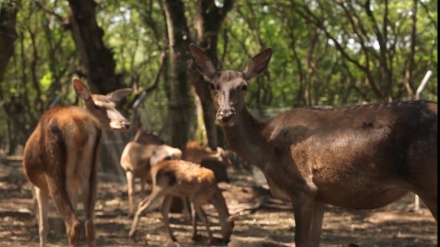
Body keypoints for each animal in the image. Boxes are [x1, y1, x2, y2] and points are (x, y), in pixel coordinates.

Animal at [22, 79, 132, 247]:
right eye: (97, 106)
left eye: (115, 106)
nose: (125, 123)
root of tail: (80, 129)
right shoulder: (74, 185)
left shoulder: (39, 187)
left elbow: (43, 226)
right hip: (90, 173)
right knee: (90, 223)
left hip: (54, 172)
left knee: (73, 224)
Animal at [188, 44, 436, 247]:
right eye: (212, 85)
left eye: (244, 86)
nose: (226, 114)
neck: (265, 149)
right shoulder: (320, 196)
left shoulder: (302, 188)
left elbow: (300, 242)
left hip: (428, 182)